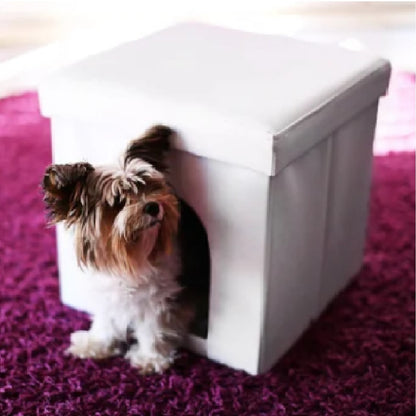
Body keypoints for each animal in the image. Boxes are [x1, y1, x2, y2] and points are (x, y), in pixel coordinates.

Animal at [42, 124, 192, 374]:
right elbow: (105, 320)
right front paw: (95, 344)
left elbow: (152, 326)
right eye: (118, 202)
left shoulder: (159, 296)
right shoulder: (107, 293)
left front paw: (150, 358)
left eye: (148, 186)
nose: (153, 206)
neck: (132, 257)